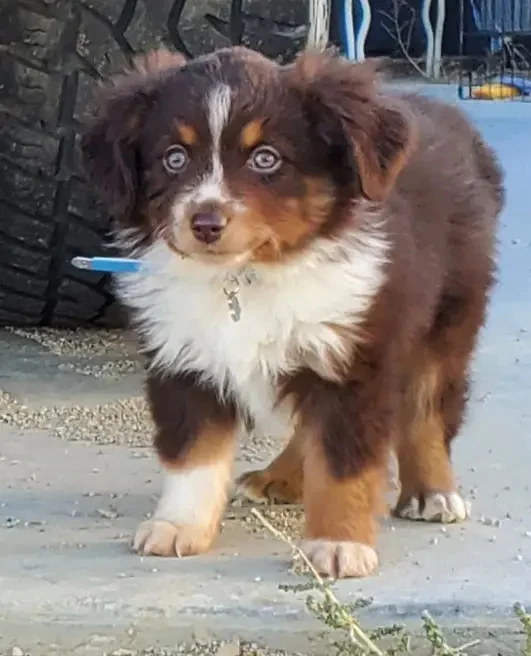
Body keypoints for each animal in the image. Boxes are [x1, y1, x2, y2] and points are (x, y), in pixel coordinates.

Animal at [81, 46, 504, 578]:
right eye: (173, 158)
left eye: (266, 158)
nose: (205, 223)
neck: (246, 278)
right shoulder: (183, 358)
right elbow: (193, 454)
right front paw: (179, 525)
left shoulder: (354, 360)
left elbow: (343, 462)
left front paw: (338, 544)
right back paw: (279, 478)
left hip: (448, 316)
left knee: (427, 406)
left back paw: (432, 491)